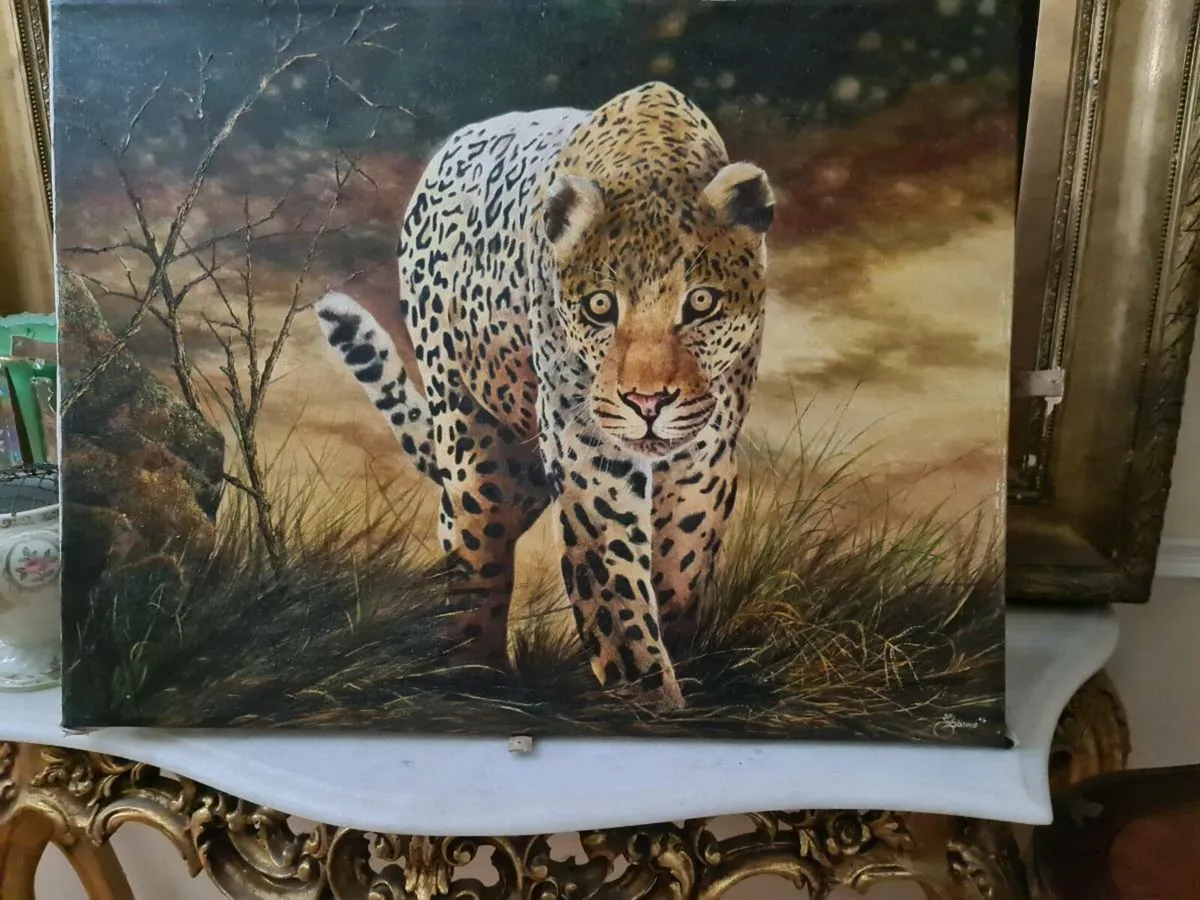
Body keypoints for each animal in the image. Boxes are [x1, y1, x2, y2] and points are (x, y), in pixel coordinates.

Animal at [316, 82, 774, 710]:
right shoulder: (590, 455)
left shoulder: (702, 461)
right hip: (477, 448)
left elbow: (680, 566)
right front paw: (646, 695)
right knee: (472, 551)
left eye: (701, 303)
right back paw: (473, 675)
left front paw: (677, 665)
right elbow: (613, 588)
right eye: (600, 307)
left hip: (523, 469)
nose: (647, 403)